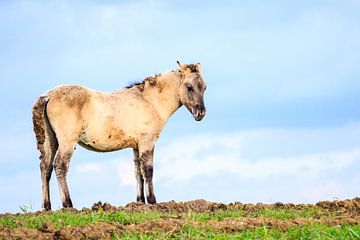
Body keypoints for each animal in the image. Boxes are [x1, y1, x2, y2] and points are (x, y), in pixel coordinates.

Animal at [33, 61, 208, 210]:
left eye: (204, 87)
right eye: (189, 86)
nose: (201, 113)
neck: (149, 101)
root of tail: (49, 95)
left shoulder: (136, 146)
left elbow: (138, 173)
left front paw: (139, 202)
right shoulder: (147, 142)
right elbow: (148, 170)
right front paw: (153, 202)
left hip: (51, 141)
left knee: (45, 167)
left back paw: (47, 207)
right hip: (67, 141)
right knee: (60, 165)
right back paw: (68, 205)